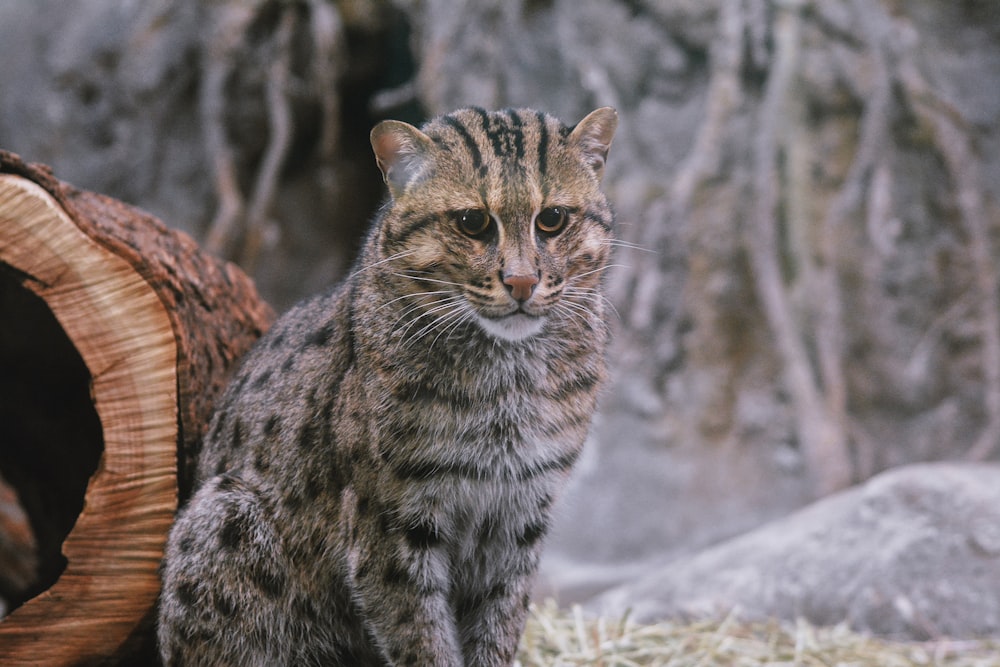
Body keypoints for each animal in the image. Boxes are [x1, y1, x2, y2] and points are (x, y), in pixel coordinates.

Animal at [158, 107, 616, 664]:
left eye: (552, 218)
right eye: (472, 221)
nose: (523, 282)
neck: (511, 371)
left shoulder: (521, 514)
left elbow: (499, 624)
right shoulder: (389, 520)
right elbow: (422, 639)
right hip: (221, 516)